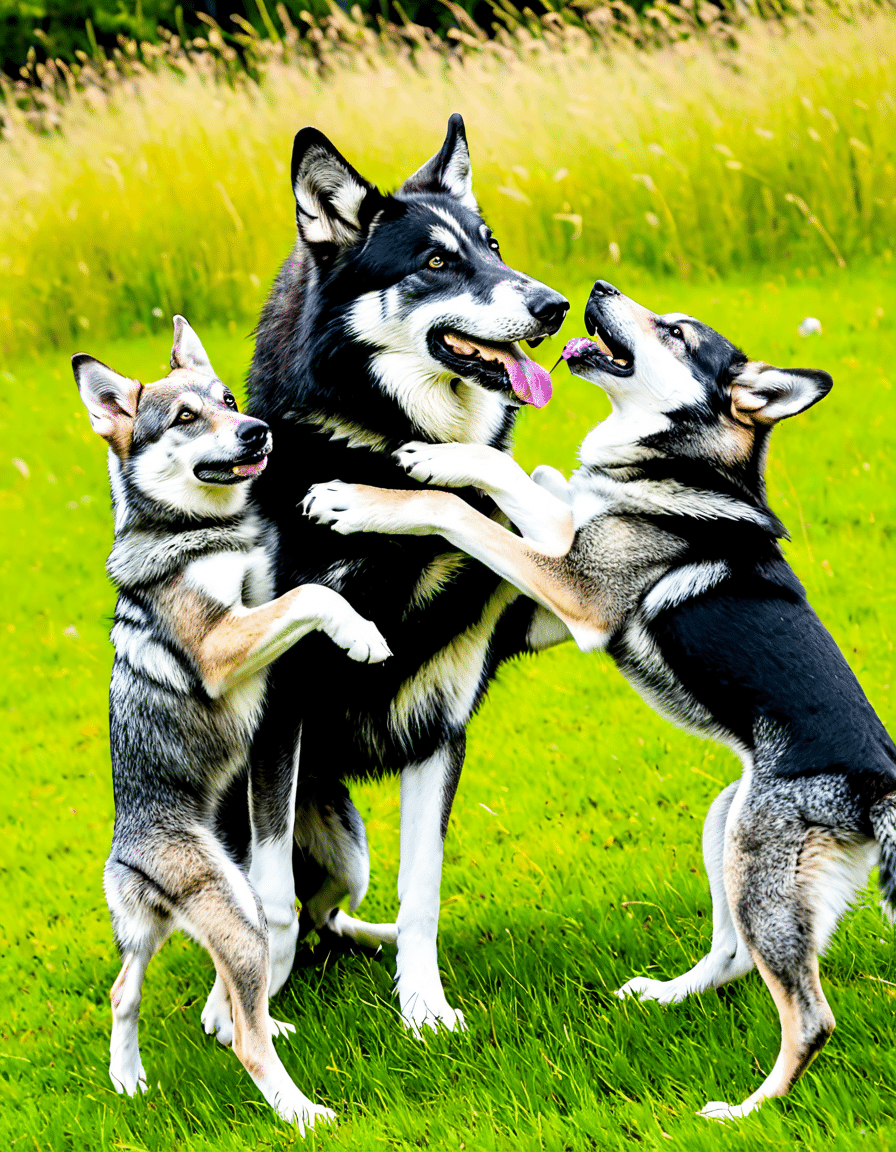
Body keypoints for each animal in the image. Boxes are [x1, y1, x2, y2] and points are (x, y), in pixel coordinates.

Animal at [74, 318, 391, 1130]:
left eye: (228, 400)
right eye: (186, 418)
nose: (258, 432)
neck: (206, 531)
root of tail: (134, 855)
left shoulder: (262, 593)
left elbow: (300, 590)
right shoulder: (221, 645)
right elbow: (311, 595)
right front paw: (363, 635)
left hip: (322, 868)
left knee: (134, 990)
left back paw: (130, 1079)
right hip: (234, 916)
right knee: (244, 1032)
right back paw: (302, 1113)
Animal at [235, 113, 569, 1036]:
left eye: (492, 246)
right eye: (435, 262)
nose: (555, 307)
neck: (373, 438)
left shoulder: (444, 722)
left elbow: (423, 889)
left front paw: (423, 1007)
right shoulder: (277, 713)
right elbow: (266, 896)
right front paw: (251, 1021)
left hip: (347, 847)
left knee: (333, 916)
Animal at [303, 280, 896, 1119]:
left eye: (676, 332)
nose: (596, 290)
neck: (676, 466)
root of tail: (878, 788)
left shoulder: (575, 591)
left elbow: (461, 510)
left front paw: (361, 500)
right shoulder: (560, 560)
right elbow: (535, 480)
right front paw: (448, 458)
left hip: (761, 867)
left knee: (809, 1017)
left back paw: (746, 1108)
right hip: (731, 827)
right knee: (733, 959)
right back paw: (663, 994)